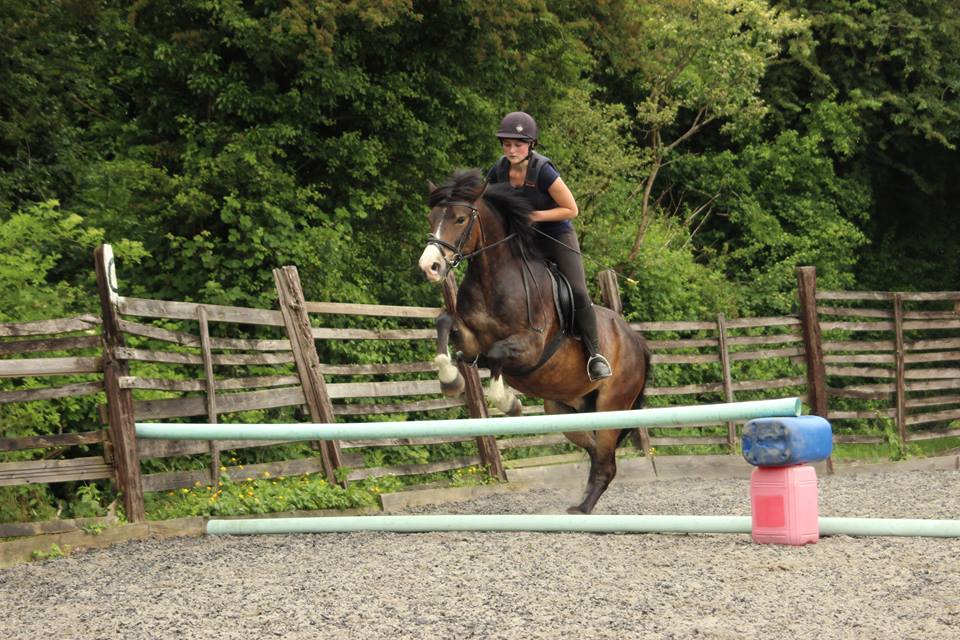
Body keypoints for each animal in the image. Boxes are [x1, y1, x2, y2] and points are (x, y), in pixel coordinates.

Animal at [417, 168, 651, 514]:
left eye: (460, 218)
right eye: (432, 217)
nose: (429, 267)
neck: (495, 278)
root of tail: (637, 340)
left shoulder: (532, 348)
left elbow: (497, 353)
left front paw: (507, 401)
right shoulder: (470, 339)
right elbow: (445, 323)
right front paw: (450, 378)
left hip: (613, 405)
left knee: (606, 461)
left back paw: (582, 510)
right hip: (562, 409)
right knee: (596, 451)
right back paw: (580, 505)